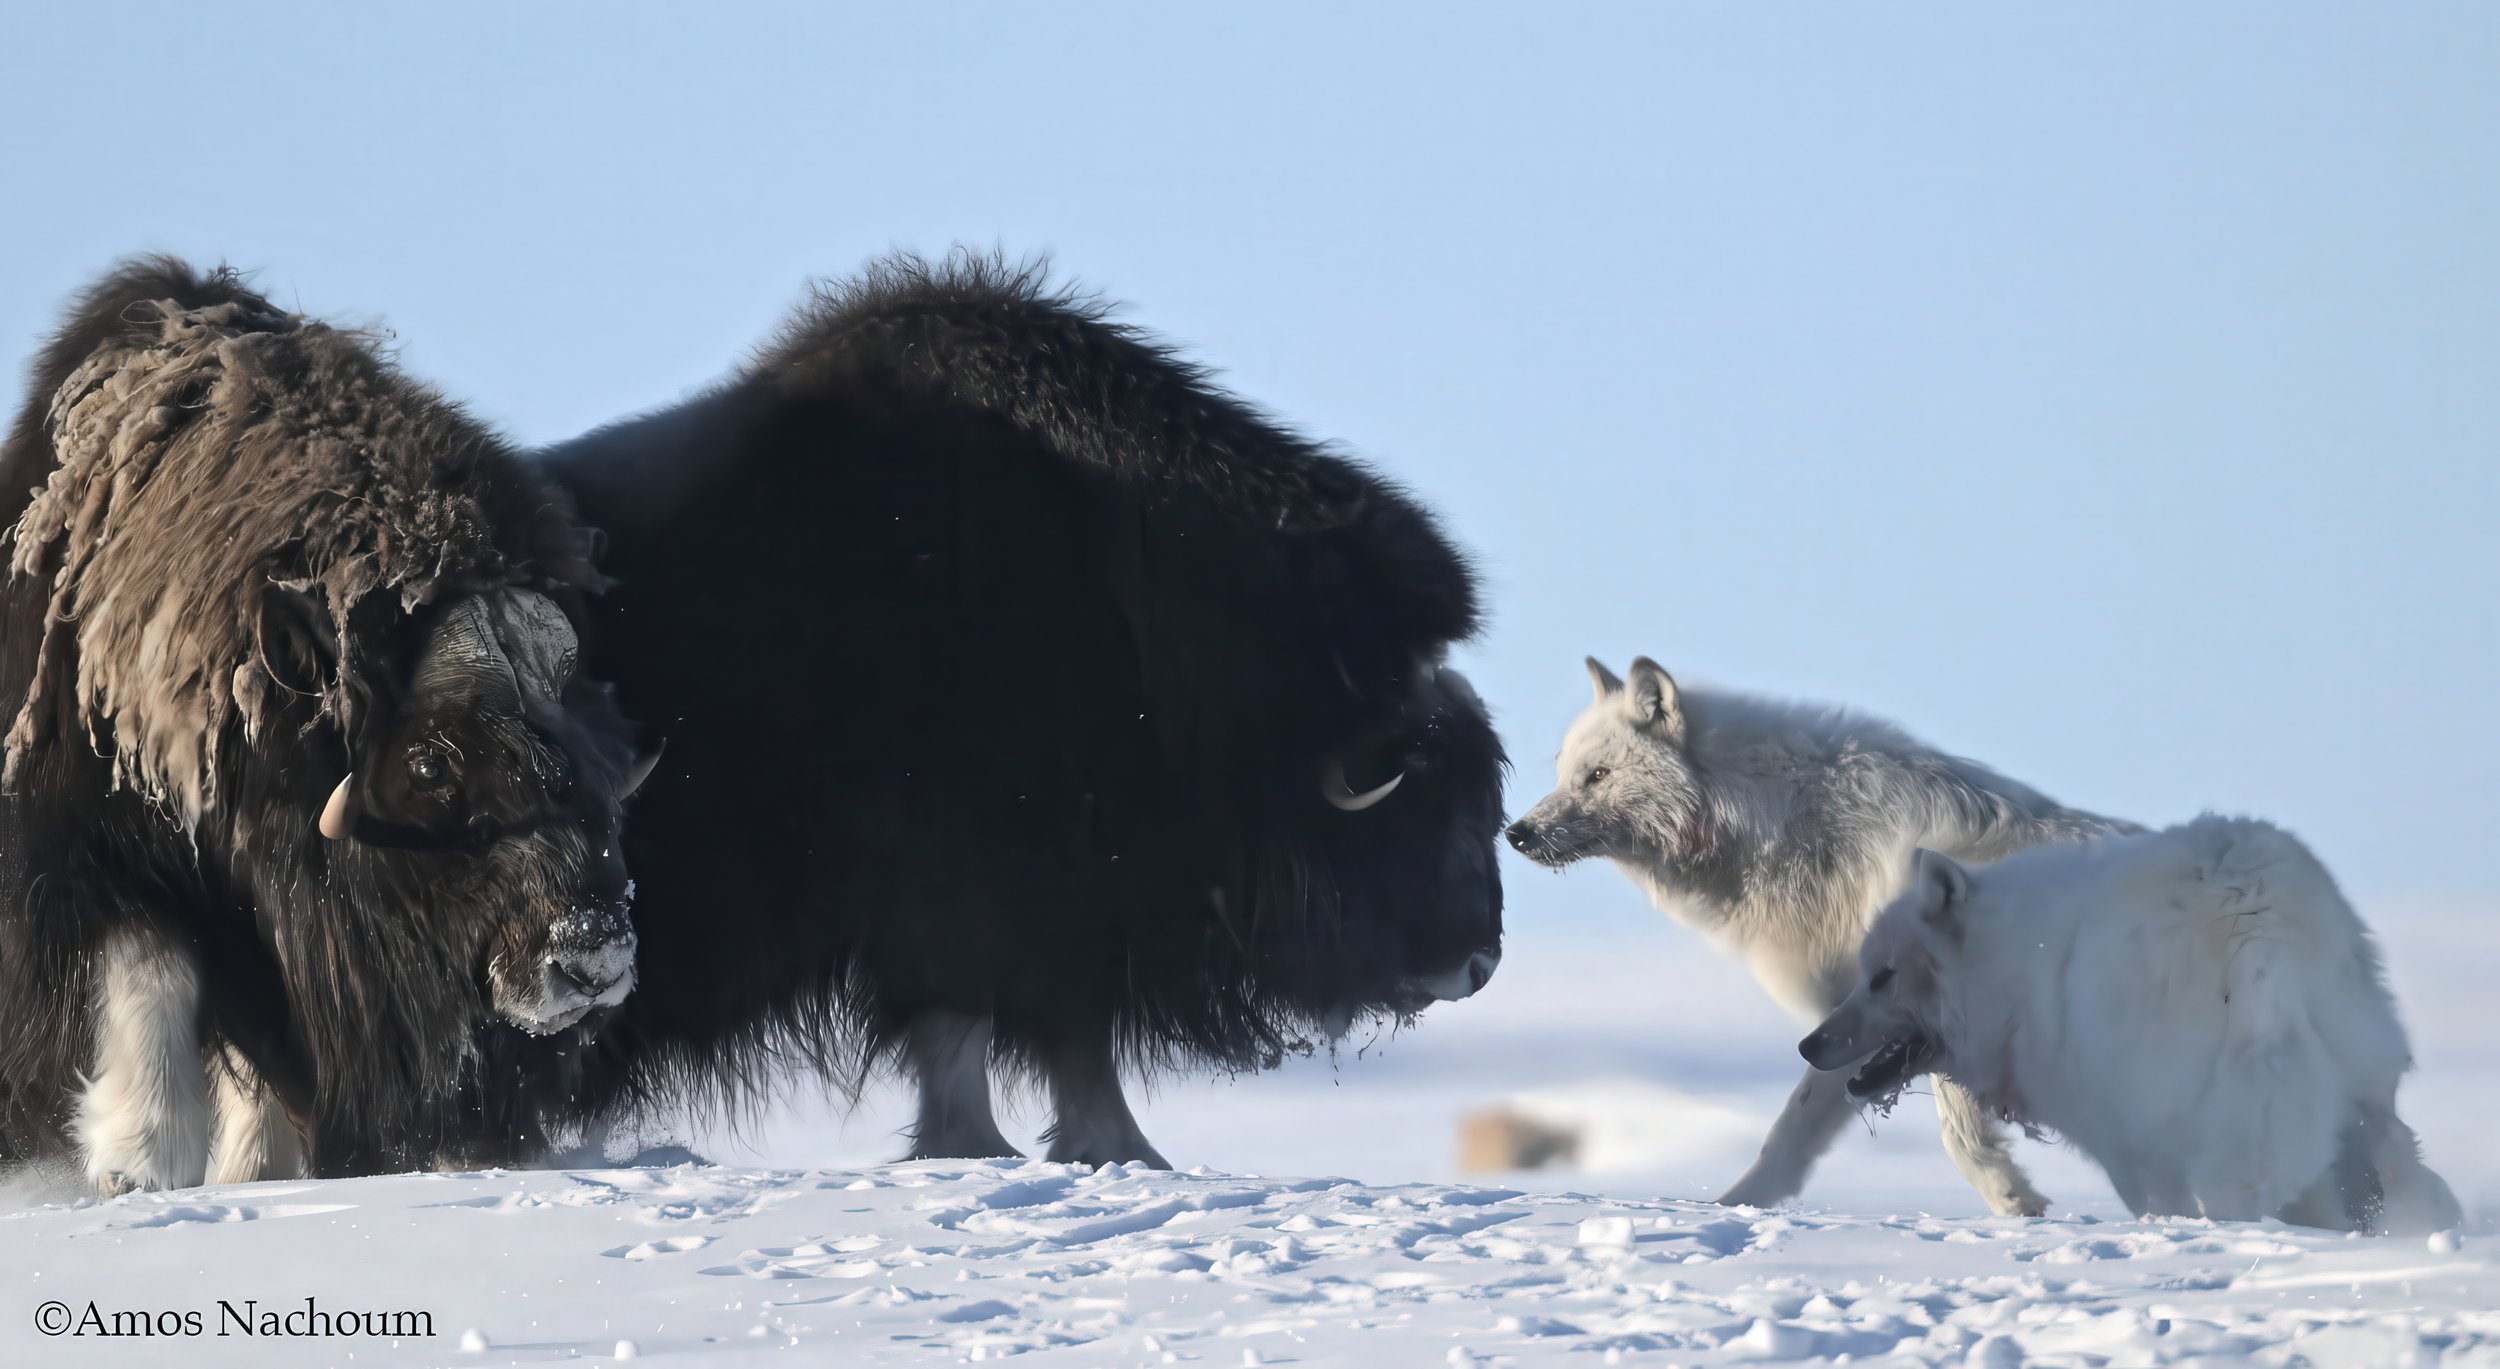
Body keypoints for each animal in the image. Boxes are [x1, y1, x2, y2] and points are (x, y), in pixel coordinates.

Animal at [1506, 658, 2133, 1214]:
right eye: (1564, 772)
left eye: (1599, 775)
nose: (1517, 832)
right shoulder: (1855, 1026)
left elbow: (1936, 1136)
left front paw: (2018, 1207)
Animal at [1803, 818, 2461, 1233]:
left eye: (1882, 977)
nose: (1809, 1045)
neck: (2013, 966)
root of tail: (2253, 924)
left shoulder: (2120, 1137)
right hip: (2358, 1084)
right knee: (2393, 1162)